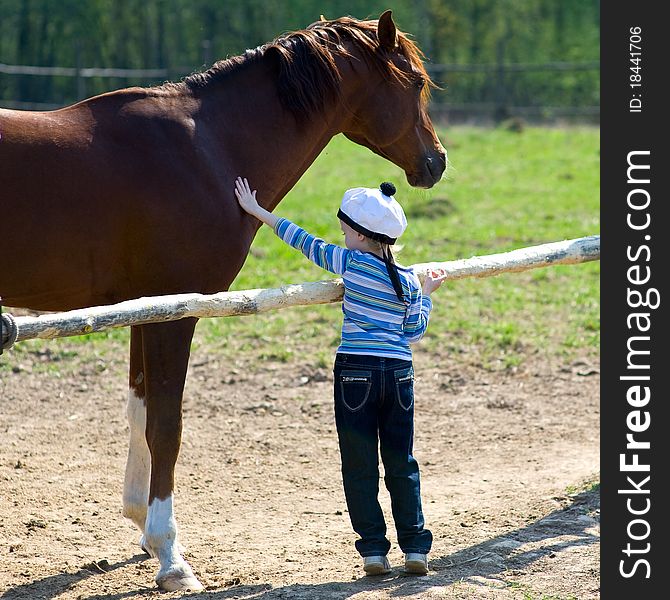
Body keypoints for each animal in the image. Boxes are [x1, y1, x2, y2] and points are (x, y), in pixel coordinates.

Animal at [2, 9, 448, 592]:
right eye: (415, 83)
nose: (437, 162)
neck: (206, 149)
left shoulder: (145, 309)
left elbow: (139, 411)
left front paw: (142, 526)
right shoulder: (174, 312)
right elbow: (166, 424)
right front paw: (171, 556)